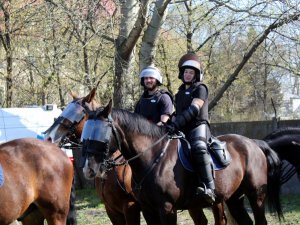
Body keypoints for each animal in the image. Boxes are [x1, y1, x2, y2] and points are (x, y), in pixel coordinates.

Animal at [82, 101, 284, 225]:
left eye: (101, 133)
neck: (153, 156)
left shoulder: (166, 209)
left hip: (256, 195)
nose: (88, 169)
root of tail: (254, 143)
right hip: (234, 198)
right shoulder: (147, 209)